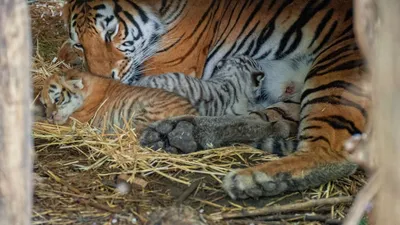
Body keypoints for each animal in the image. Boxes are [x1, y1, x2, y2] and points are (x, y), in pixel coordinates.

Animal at [61, 0, 370, 200]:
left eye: (111, 33)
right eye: (79, 44)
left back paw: (251, 180)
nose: (103, 75)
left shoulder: (169, 66)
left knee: (333, 153)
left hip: (334, 72)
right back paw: (180, 133)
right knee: (266, 124)